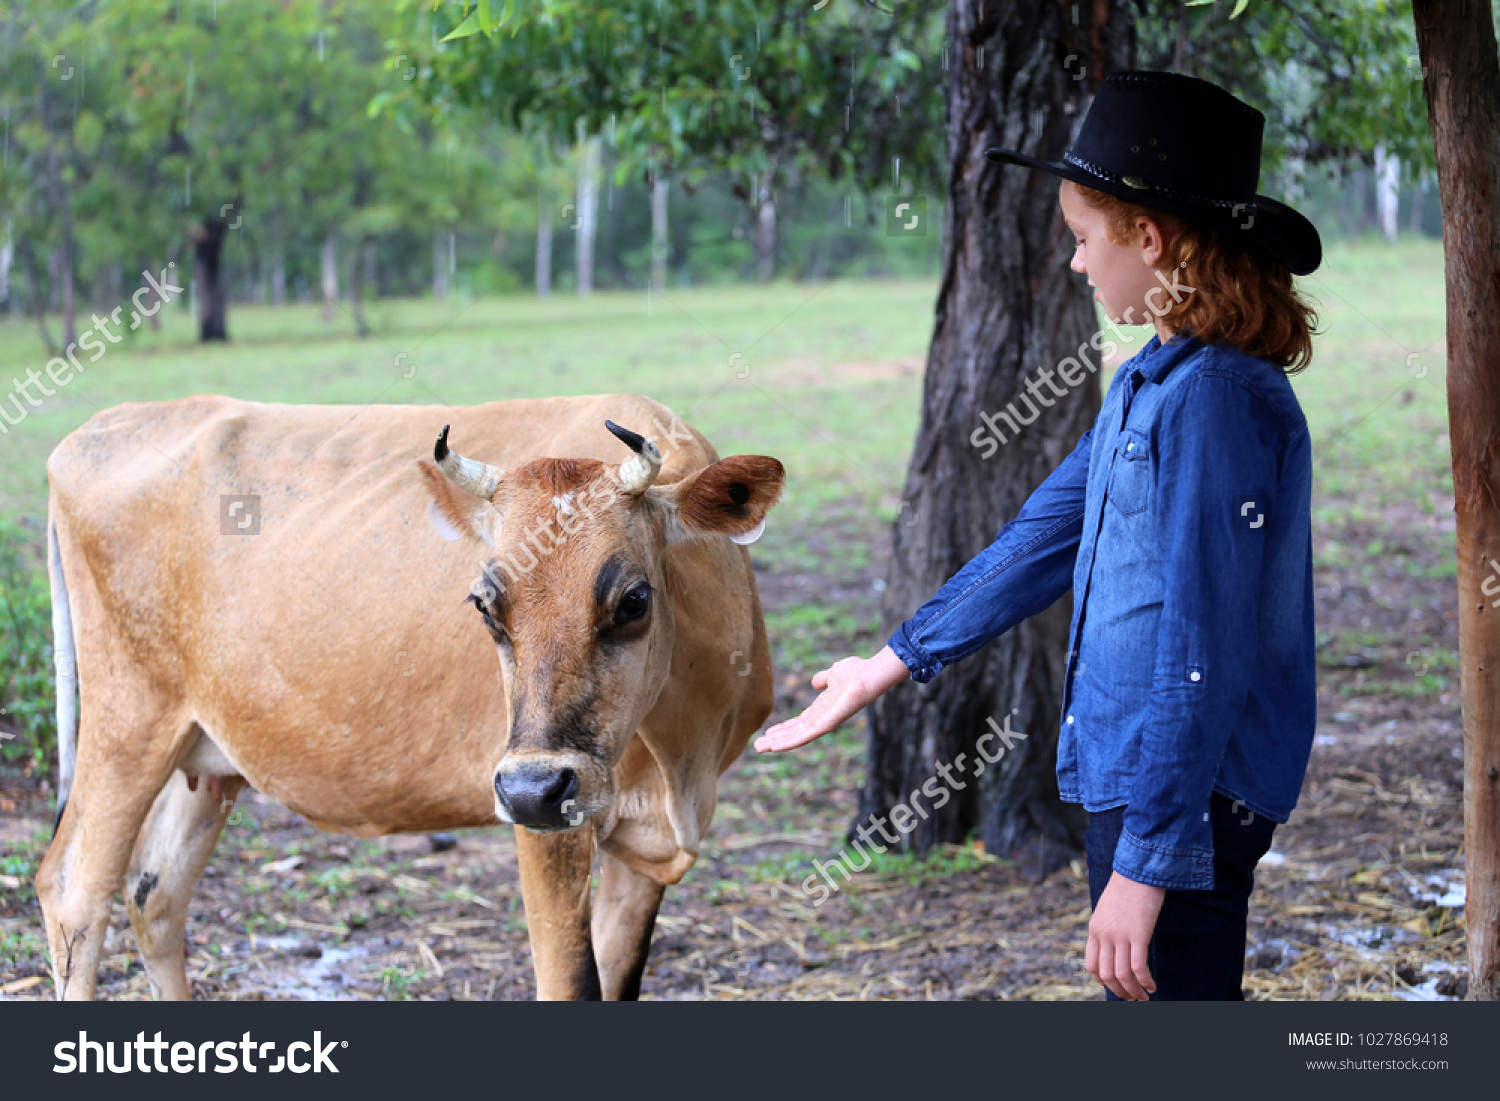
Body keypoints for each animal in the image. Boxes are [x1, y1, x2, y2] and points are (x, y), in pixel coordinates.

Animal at [38, 396, 786, 1002]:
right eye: (485, 605)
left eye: (633, 599)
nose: (534, 788)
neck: (677, 758)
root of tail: (97, 430)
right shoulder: (548, 829)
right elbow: (570, 982)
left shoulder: (638, 844)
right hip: (126, 724)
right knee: (74, 891)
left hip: (204, 755)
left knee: (155, 896)